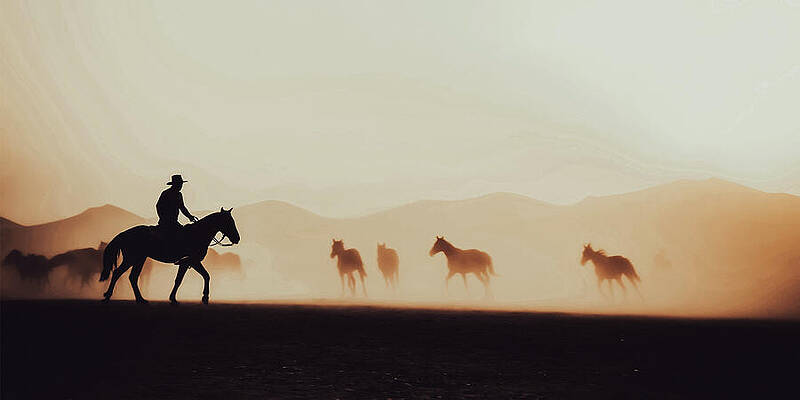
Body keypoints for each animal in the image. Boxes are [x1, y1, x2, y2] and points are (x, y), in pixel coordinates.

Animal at [100, 208, 240, 305]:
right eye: (229, 221)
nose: (237, 238)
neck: (197, 233)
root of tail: (123, 234)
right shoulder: (191, 262)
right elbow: (200, 276)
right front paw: (204, 297)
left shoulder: (188, 263)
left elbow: (186, 279)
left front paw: (174, 298)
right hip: (132, 259)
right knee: (118, 273)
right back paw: (108, 296)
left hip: (140, 259)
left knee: (132, 277)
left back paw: (141, 299)